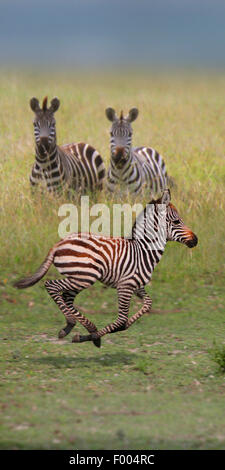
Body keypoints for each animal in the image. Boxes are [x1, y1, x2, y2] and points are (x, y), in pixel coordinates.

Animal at [13, 189, 197, 346]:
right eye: (176, 221)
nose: (195, 240)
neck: (142, 251)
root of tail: (59, 243)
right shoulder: (125, 286)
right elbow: (121, 320)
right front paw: (93, 337)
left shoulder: (136, 286)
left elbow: (147, 304)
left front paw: (100, 334)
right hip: (84, 277)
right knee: (51, 286)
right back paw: (79, 326)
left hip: (78, 277)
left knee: (66, 297)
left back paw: (76, 327)